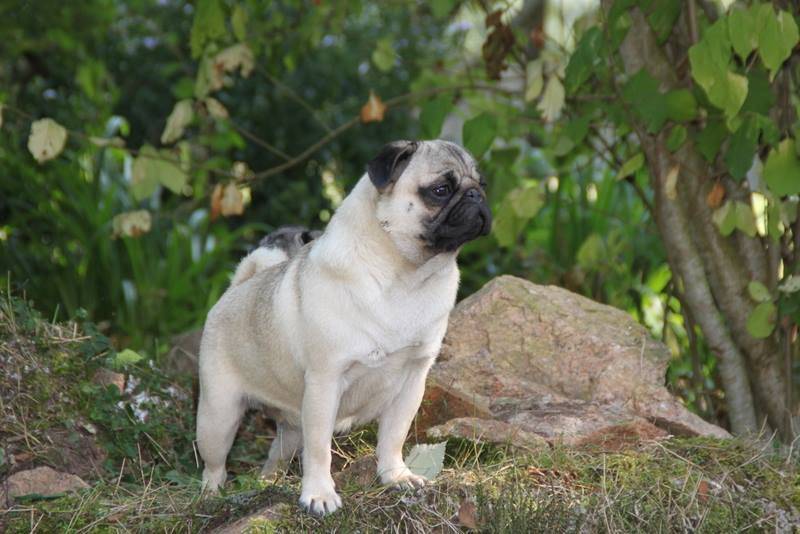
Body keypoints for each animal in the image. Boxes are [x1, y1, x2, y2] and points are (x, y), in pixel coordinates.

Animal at [196, 140, 491, 515]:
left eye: (482, 184)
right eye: (440, 190)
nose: (476, 196)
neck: (407, 276)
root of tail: (236, 288)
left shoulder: (413, 380)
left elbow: (393, 435)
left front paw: (395, 476)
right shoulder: (326, 381)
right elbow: (319, 449)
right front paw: (319, 494)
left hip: (290, 424)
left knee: (278, 452)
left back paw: (268, 483)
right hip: (218, 416)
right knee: (215, 463)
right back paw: (211, 495)